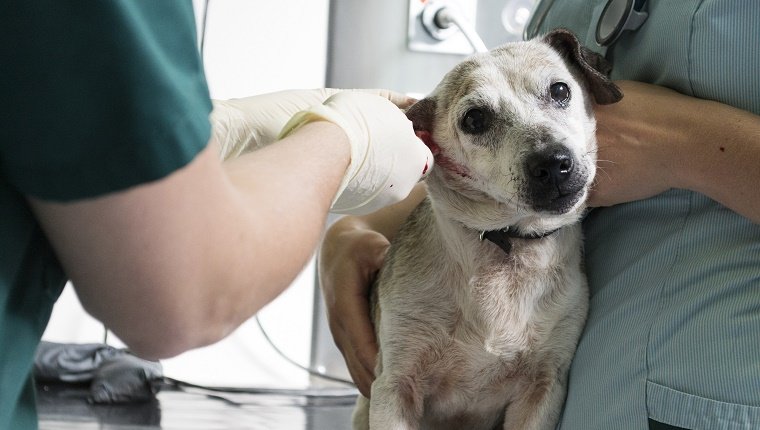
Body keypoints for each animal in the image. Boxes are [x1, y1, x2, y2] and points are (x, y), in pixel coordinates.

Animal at [354, 28, 620, 428]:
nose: (553, 163)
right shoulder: (395, 386)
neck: (507, 244)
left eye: (559, 90)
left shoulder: (543, 386)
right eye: (475, 119)